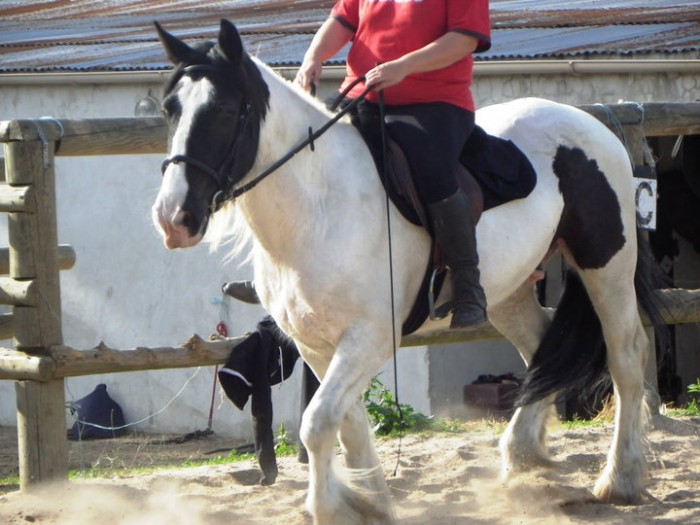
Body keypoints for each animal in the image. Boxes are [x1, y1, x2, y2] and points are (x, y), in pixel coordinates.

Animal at [153, 19, 668, 524]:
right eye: (169, 109)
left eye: (225, 111)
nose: (173, 218)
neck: (321, 206)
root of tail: (589, 123)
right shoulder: (315, 344)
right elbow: (347, 423)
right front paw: (372, 502)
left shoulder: (370, 337)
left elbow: (317, 424)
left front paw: (334, 508)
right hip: (509, 290)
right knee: (542, 348)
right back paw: (523, 456)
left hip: (606, 265)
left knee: (626, 356)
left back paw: (620, 479)